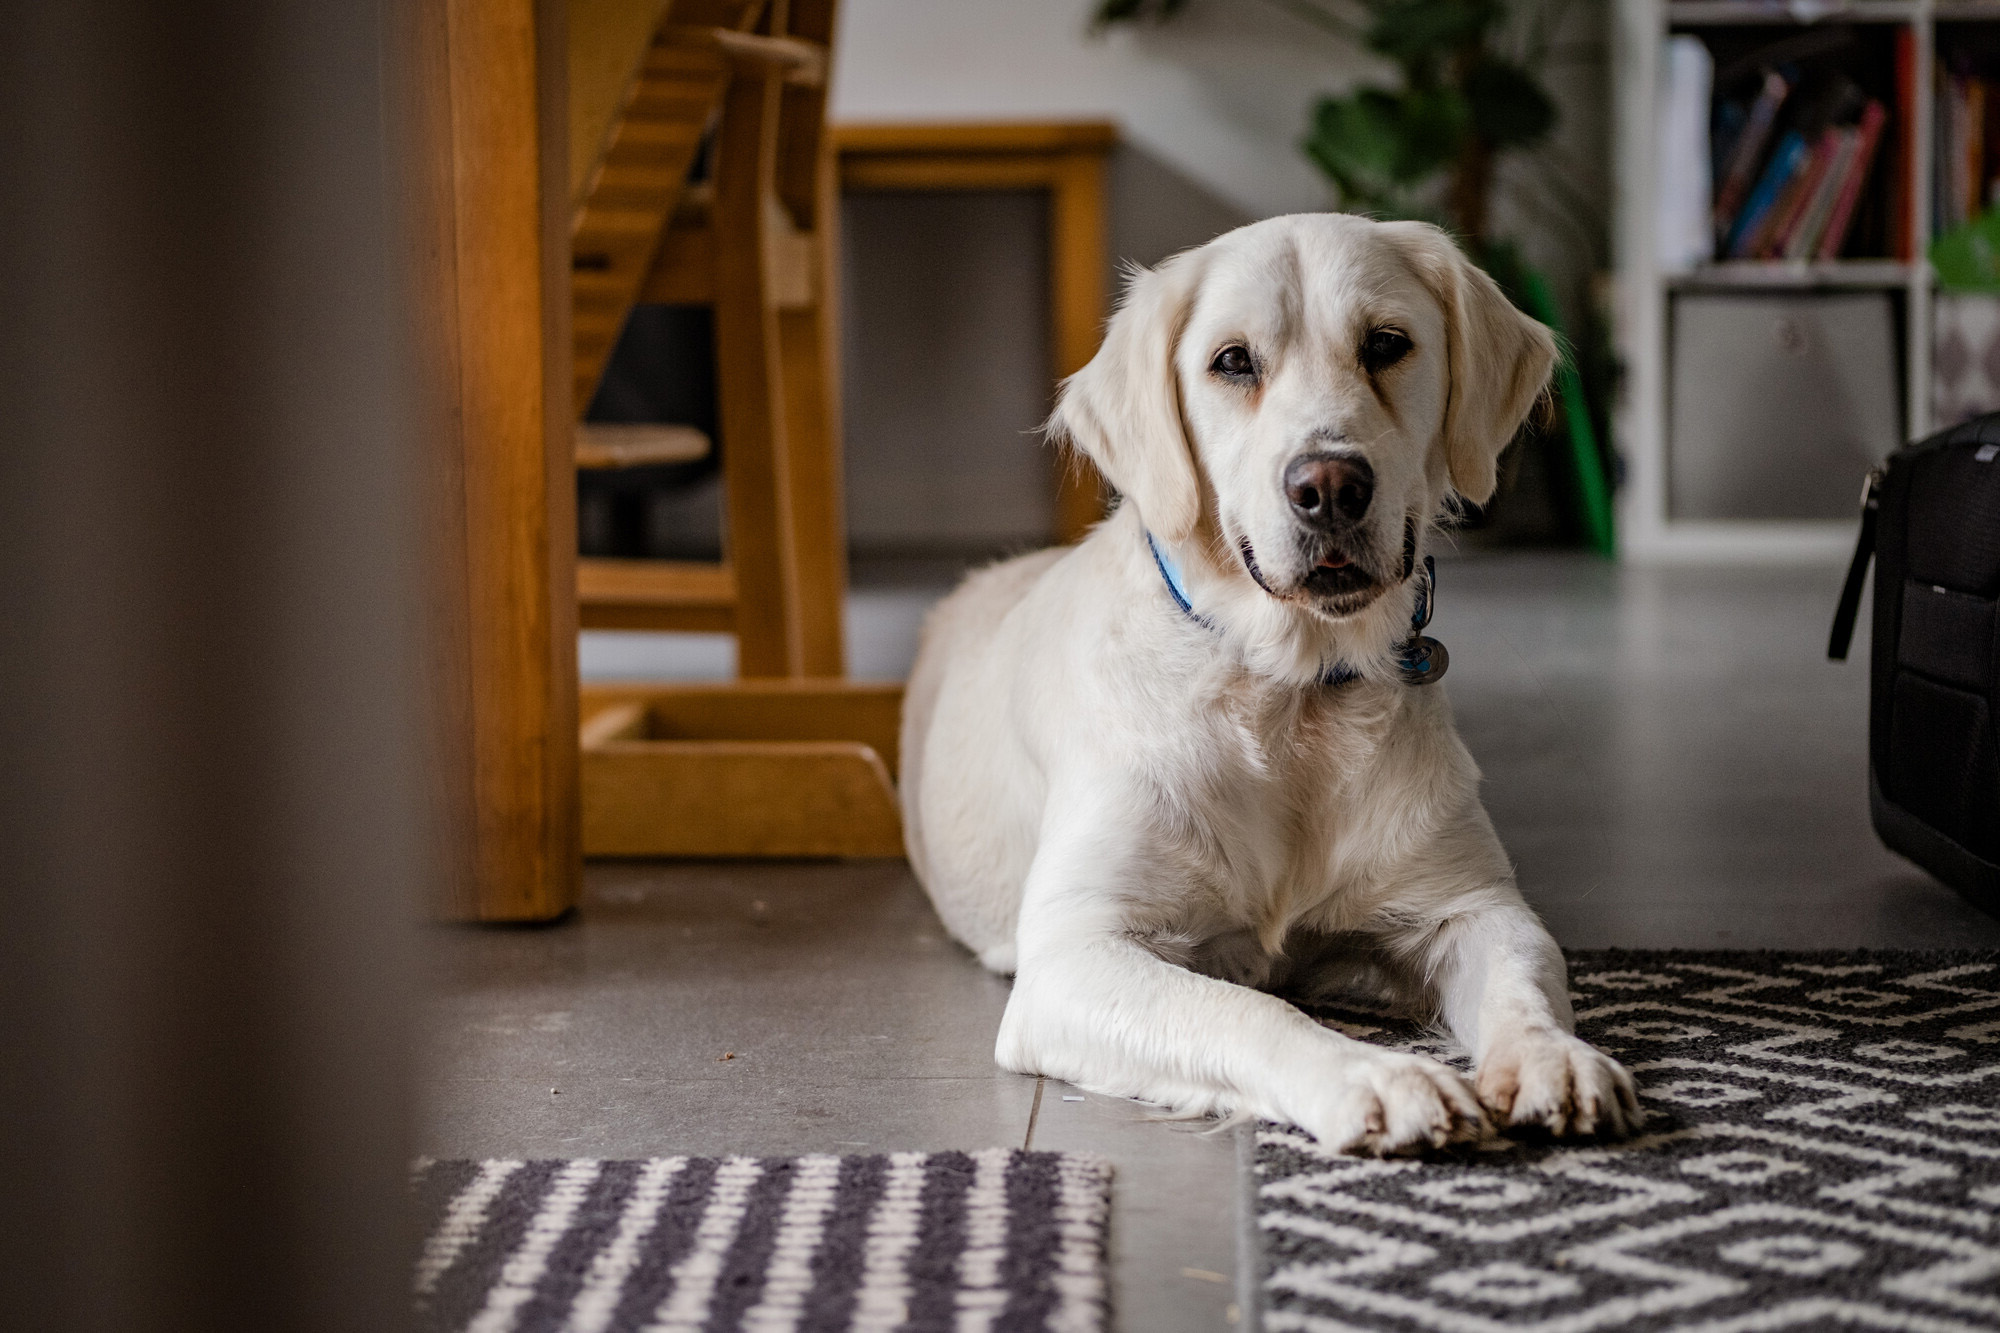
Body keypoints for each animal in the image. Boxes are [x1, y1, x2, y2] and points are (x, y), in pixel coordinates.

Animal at [900, 213, 1632, 1144]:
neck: (1290, 694)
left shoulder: (1472, 903)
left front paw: (1554, 1059)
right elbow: (1249, 1008)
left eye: (1387, 343)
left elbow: (1526, 981)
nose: (1330, 485)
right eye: (1233, 361)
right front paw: (1379, 1075)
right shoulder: (1075, 952)